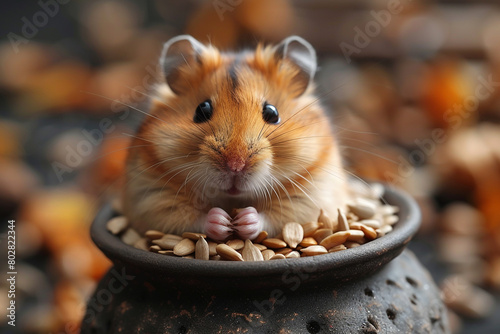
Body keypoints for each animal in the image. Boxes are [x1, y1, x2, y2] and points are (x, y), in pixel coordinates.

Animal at [122, 35, 348, 241]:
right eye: (201, 110)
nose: (235, 166)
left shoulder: (311, 196)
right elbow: (188, 218)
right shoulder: (151, 195)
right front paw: (223, 222)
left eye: (272, 113)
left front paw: (243, 221)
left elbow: (279, 218)